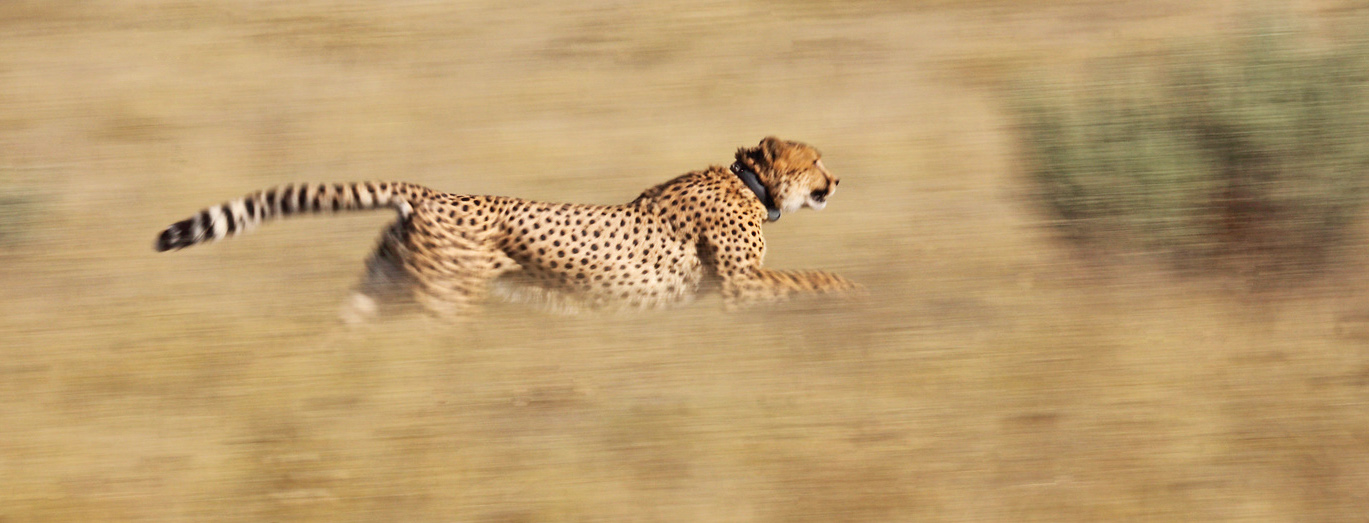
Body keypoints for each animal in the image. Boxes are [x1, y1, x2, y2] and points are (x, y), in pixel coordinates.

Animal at [155, 136, 859, 320]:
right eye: (816, 160)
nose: (838, 180)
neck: (749, 184)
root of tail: (428, 192)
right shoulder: (738, 284)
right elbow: (814, 277)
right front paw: (856, 292)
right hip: (445, 301)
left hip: (383, 288)